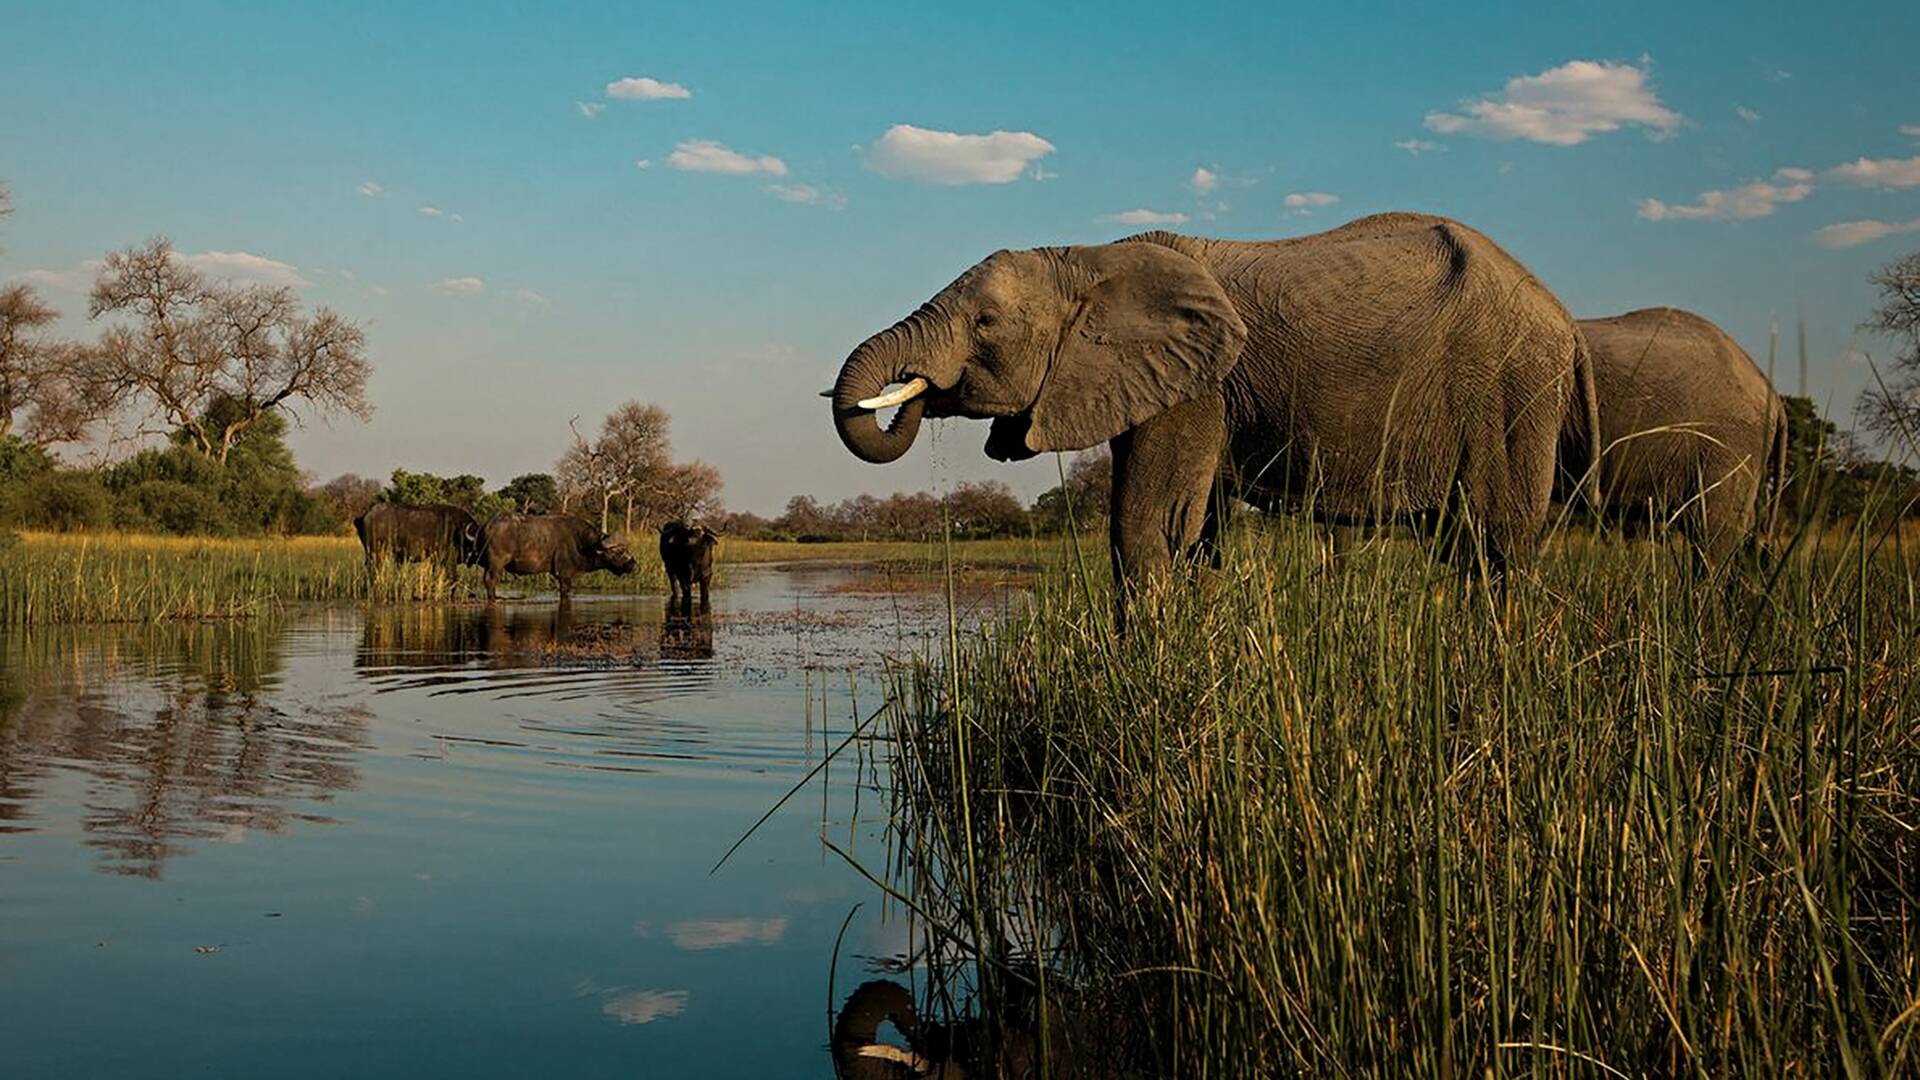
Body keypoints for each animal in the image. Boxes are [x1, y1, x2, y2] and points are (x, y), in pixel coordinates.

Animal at [474, 511, 637, 599]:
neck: (581, 543)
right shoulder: (564, 575)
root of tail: (486, 526)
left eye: (626, 549)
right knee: (490, 581)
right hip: (496, 565)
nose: (632, 564)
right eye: (619, 552)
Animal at [833, 211, 1597, 591]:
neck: (1090, 256)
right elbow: (1195, 535)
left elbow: (1147, 528)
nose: (911, 389)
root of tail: (1562, 314)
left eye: (987, 323)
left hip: (1511, 388)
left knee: (1496, 541)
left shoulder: (1200, 386)